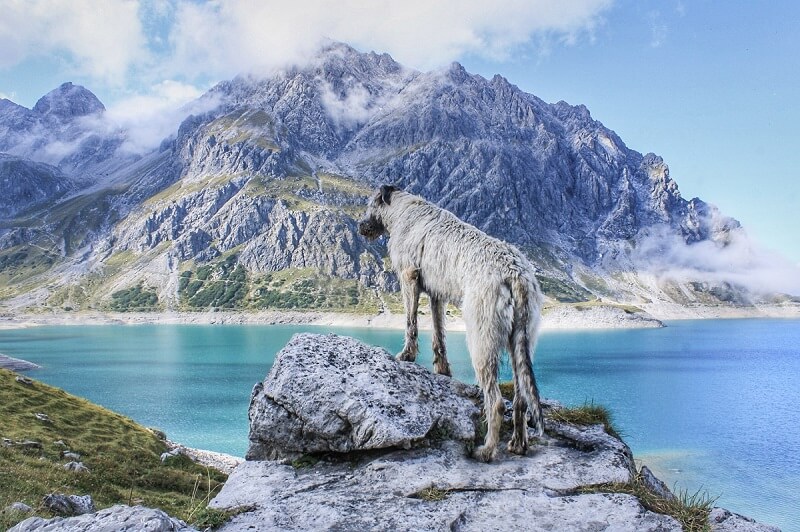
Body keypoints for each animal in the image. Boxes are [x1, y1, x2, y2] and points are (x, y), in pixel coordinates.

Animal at [360, 185, 544, 460]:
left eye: (370, 203)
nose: (361, 227)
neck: (403, 210)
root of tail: (516, 273)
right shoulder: (436, 294)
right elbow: (438, 333)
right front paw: (442, 368)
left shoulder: (409, 276)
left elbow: (411, 321)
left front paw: (407, 355)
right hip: (522, 337)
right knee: (520, 398)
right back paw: (518, 443)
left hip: (482, 334)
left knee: (496, 401)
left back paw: (487, 450)